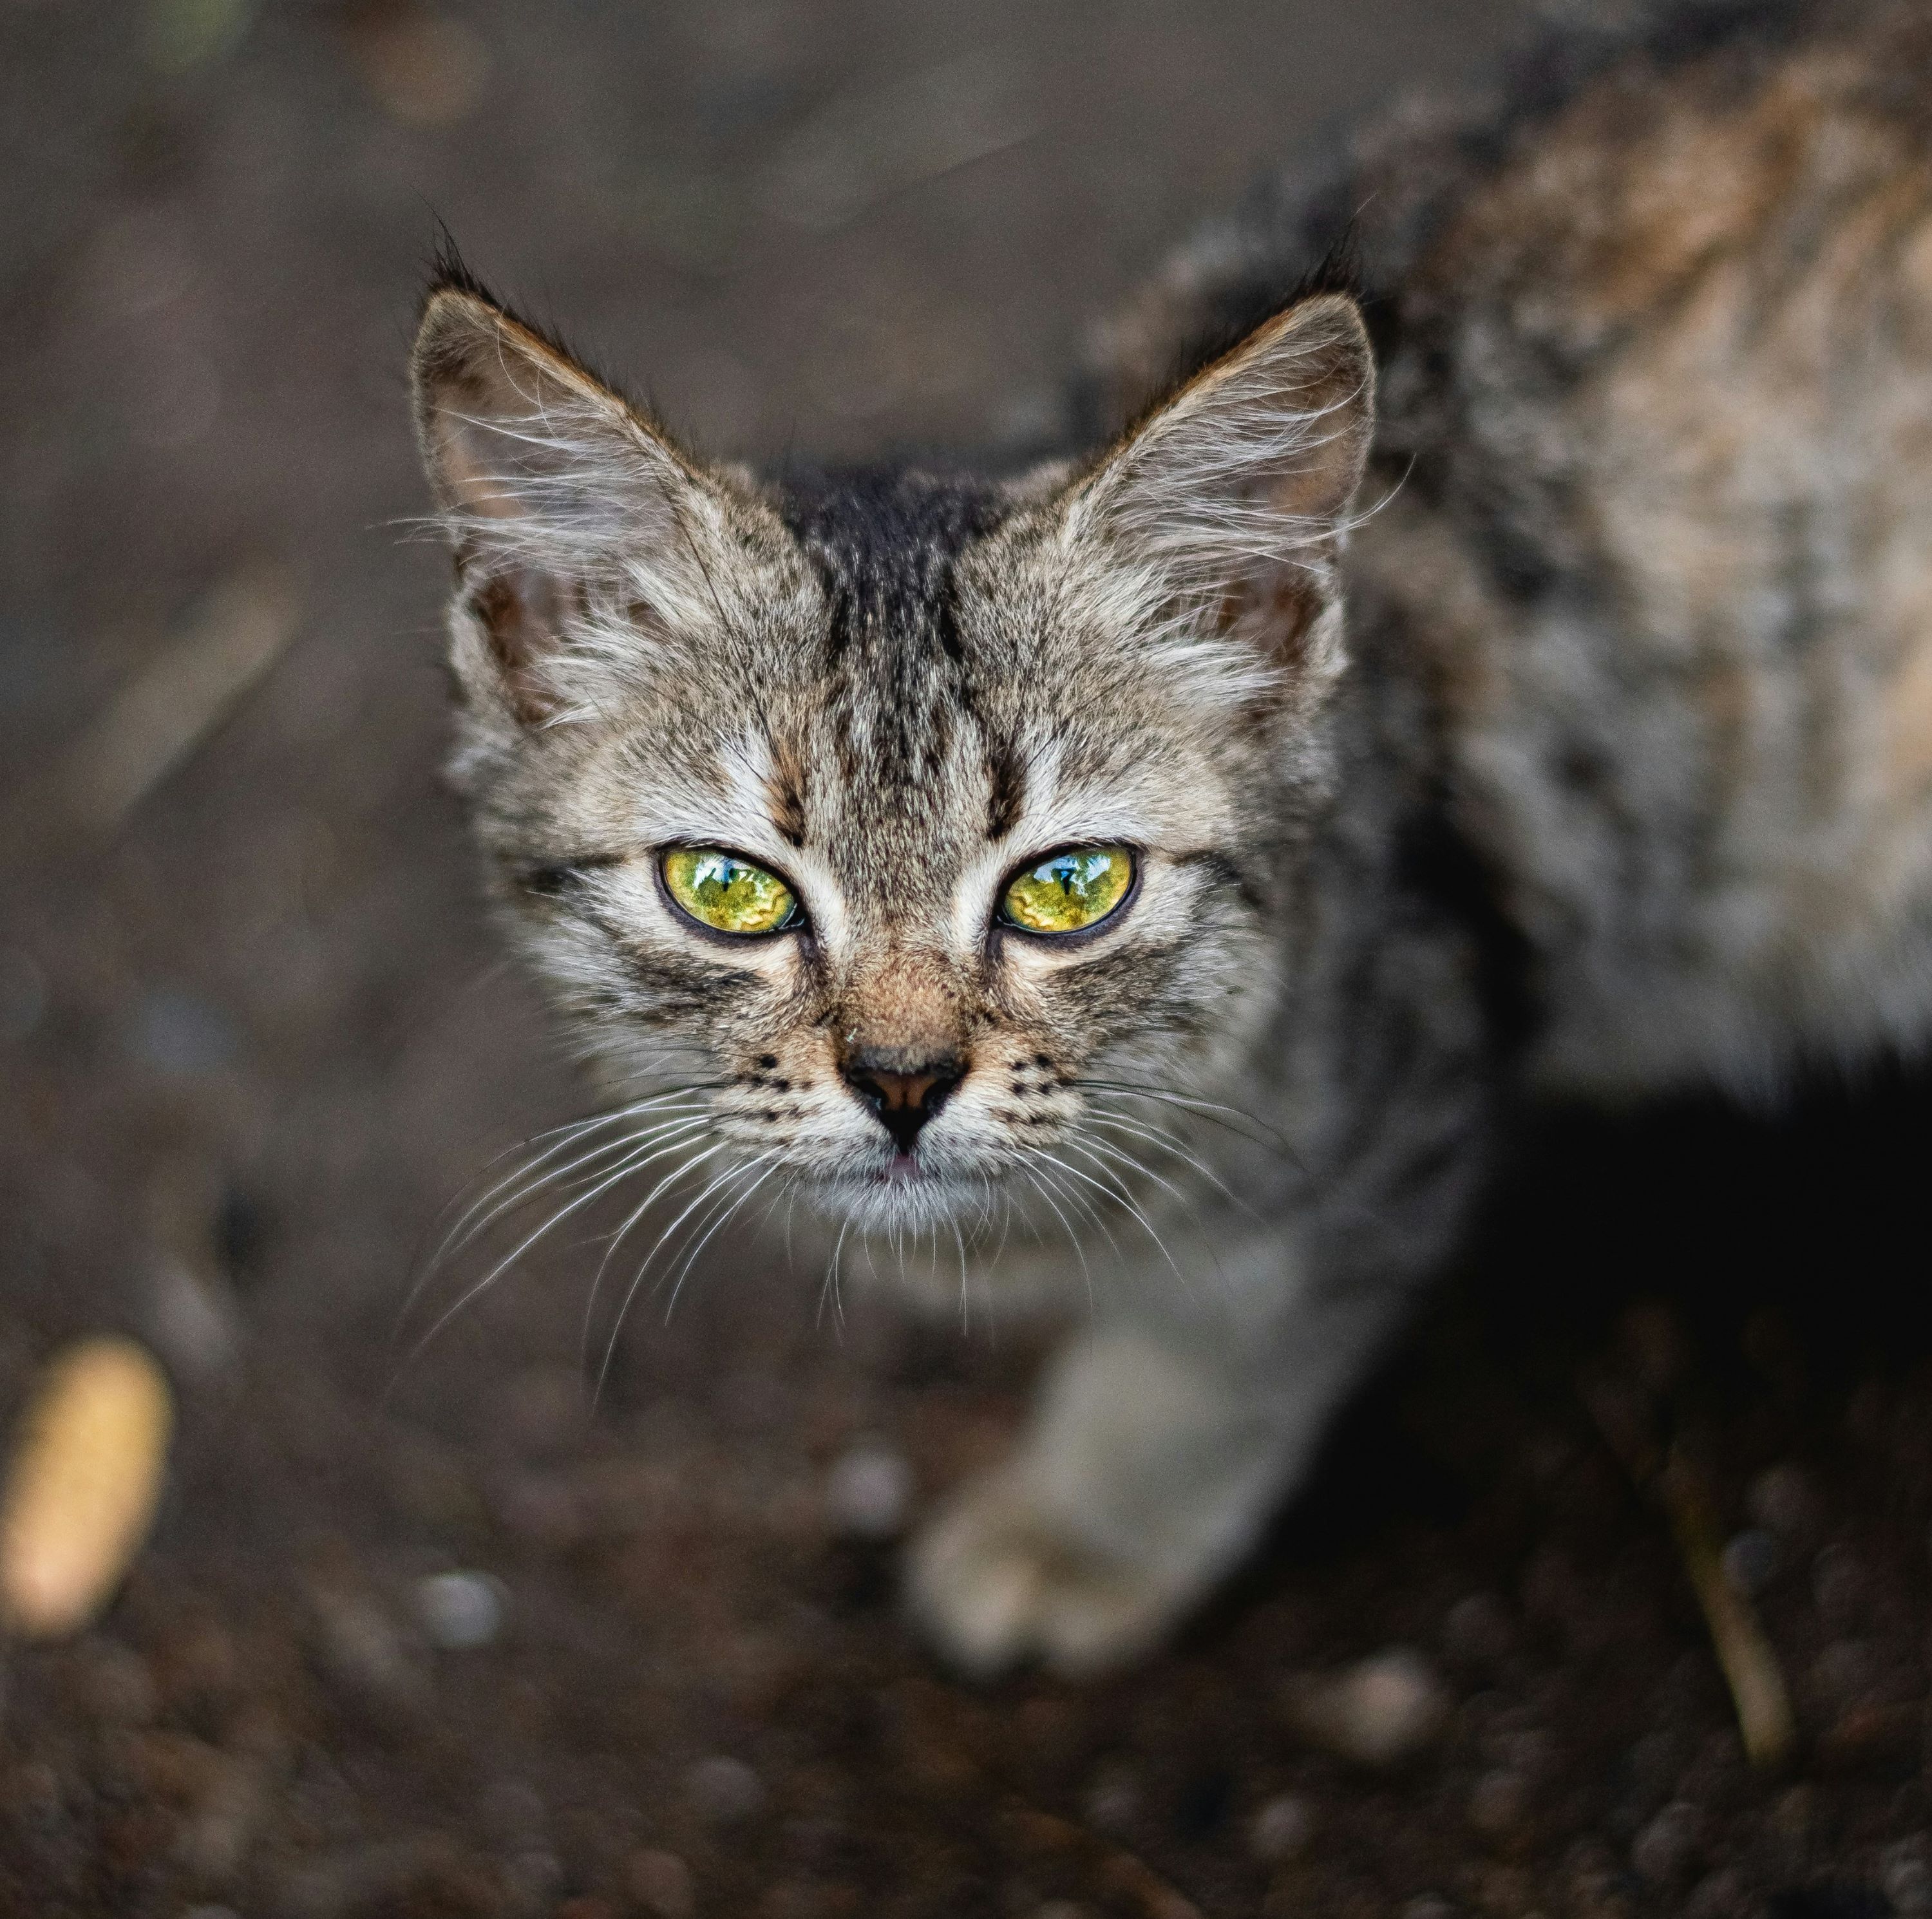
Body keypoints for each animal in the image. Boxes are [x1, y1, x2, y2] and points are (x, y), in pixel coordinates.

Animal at [408, 0, 1932, 1677]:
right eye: (726, 887)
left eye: (1072, 886)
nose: (900, 1079)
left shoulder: (1384, 1103)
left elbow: (1215, 1344)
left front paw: (1085, 1523)